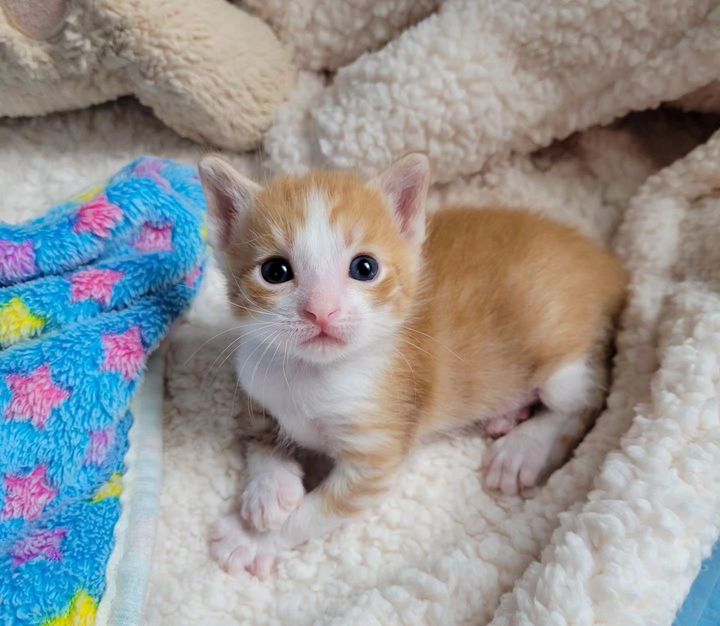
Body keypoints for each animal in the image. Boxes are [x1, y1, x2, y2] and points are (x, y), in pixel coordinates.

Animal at [197, 152, 624, 576]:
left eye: (364, 268)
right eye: (275, 272)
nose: (321, 311)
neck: (314, 374)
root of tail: (606, 265)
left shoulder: (377, 456)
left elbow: (313, 513)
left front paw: (251, 539)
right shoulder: (254, 386)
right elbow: (258, 439)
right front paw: (270, 492)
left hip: (563, 360)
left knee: (587, 400)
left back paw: (523, 448)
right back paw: (508, 415)